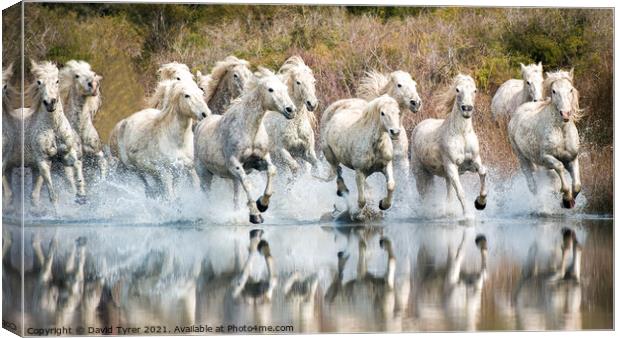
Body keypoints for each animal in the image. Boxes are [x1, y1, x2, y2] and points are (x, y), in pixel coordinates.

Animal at [196, 67, 298, 223]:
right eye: (270, 89)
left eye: (285, 89)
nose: (290, 110)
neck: (249, 130)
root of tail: (200, 124)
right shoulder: (235, 165)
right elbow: (247, 183)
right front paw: (255, 215)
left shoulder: (258, 161)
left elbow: (272, 170)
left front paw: (262, 204)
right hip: (205, 174)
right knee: (207, 194)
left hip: (232, 179)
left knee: (235, 197)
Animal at [410, 74, 486, 217]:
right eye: (457, 89)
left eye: (475, 90)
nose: (467, 109)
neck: (461, 134)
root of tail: (418, 126)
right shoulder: (451, 166)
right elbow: (461, 193)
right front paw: (467, 215)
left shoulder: (473, 162)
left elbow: (483, 172)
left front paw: (480, 203)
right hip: (421, 173)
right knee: (424, 194)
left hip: (446, 177)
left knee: (447, 196)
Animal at [508, 69, 580, 209]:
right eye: (554, 91)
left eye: (570, 89)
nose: (565, 113)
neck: (561, 130)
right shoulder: (546, 157)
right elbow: (559, 167)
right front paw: (566, 198)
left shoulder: (572, 158)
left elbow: (577, 185)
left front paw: (568, 202)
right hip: (522, 157)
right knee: (531, 183)